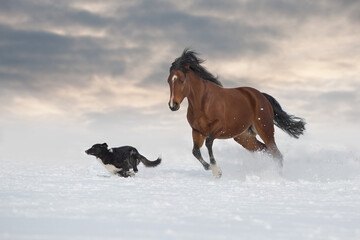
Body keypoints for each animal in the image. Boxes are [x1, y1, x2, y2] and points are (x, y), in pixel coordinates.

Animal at [167, 48, 306, 177]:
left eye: (182, 80)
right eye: (168, 81)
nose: (173, 105)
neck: (203, 102)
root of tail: (262, 96)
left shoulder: (219, 128)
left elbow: (208, 142)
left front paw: (217, 171)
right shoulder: (197, 131)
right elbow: (195, 151)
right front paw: (212, 169)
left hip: (265, 130)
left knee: (277, 154)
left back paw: (277, 176)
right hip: (244, 138)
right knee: (266, 150)